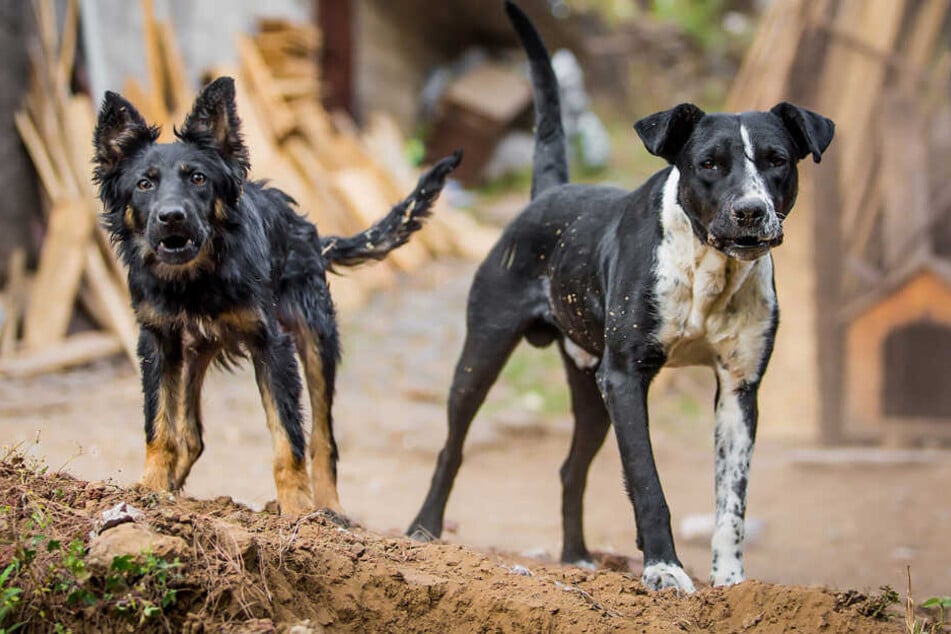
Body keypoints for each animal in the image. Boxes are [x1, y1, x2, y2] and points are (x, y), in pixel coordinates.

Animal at [94, 76, 462, 516]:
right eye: (144, 184)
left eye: (198, 179)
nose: (171, 217)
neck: (196, 279)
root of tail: (309, 232)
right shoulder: (158, 342)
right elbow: (160, 425)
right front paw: (150, 489)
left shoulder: (273, 345)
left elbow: (289, 439)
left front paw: (297, 510)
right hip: (194, 353)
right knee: (192, 435)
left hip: (317, 340)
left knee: (323, 438)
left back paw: (330, 510)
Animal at [410, 2, 832, 592]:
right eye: (708, 163)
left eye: (777, 160)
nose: (751, 211)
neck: (708, 269)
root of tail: (549, 192)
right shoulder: (626, 377)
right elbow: (648, 484)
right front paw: (664, 570)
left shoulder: (739, 389)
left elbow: (732, 501)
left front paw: (729, 582)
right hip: (483, 355)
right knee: (452, 447)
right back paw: (422, 531)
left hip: (590, 387)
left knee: (570, 468)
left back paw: (576, 556)